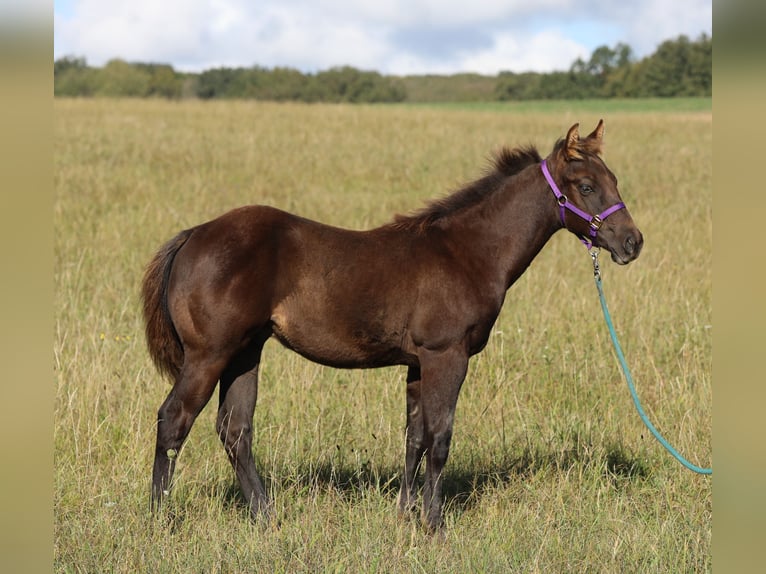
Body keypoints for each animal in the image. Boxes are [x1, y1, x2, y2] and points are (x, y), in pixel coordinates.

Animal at [142, 119, 640, 532]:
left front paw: (405, 513)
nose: (632, 242)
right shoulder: (446, 356)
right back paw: (159, 520)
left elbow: (414, 437)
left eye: (615, 180)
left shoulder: (418, 363)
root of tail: (193, 235)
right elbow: (439, 438)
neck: (466, 252)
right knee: (174, 420)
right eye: (586, 185)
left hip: (245, 353)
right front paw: (433, 525)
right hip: (209, 355)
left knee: (236, 430)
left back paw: (266, 518)